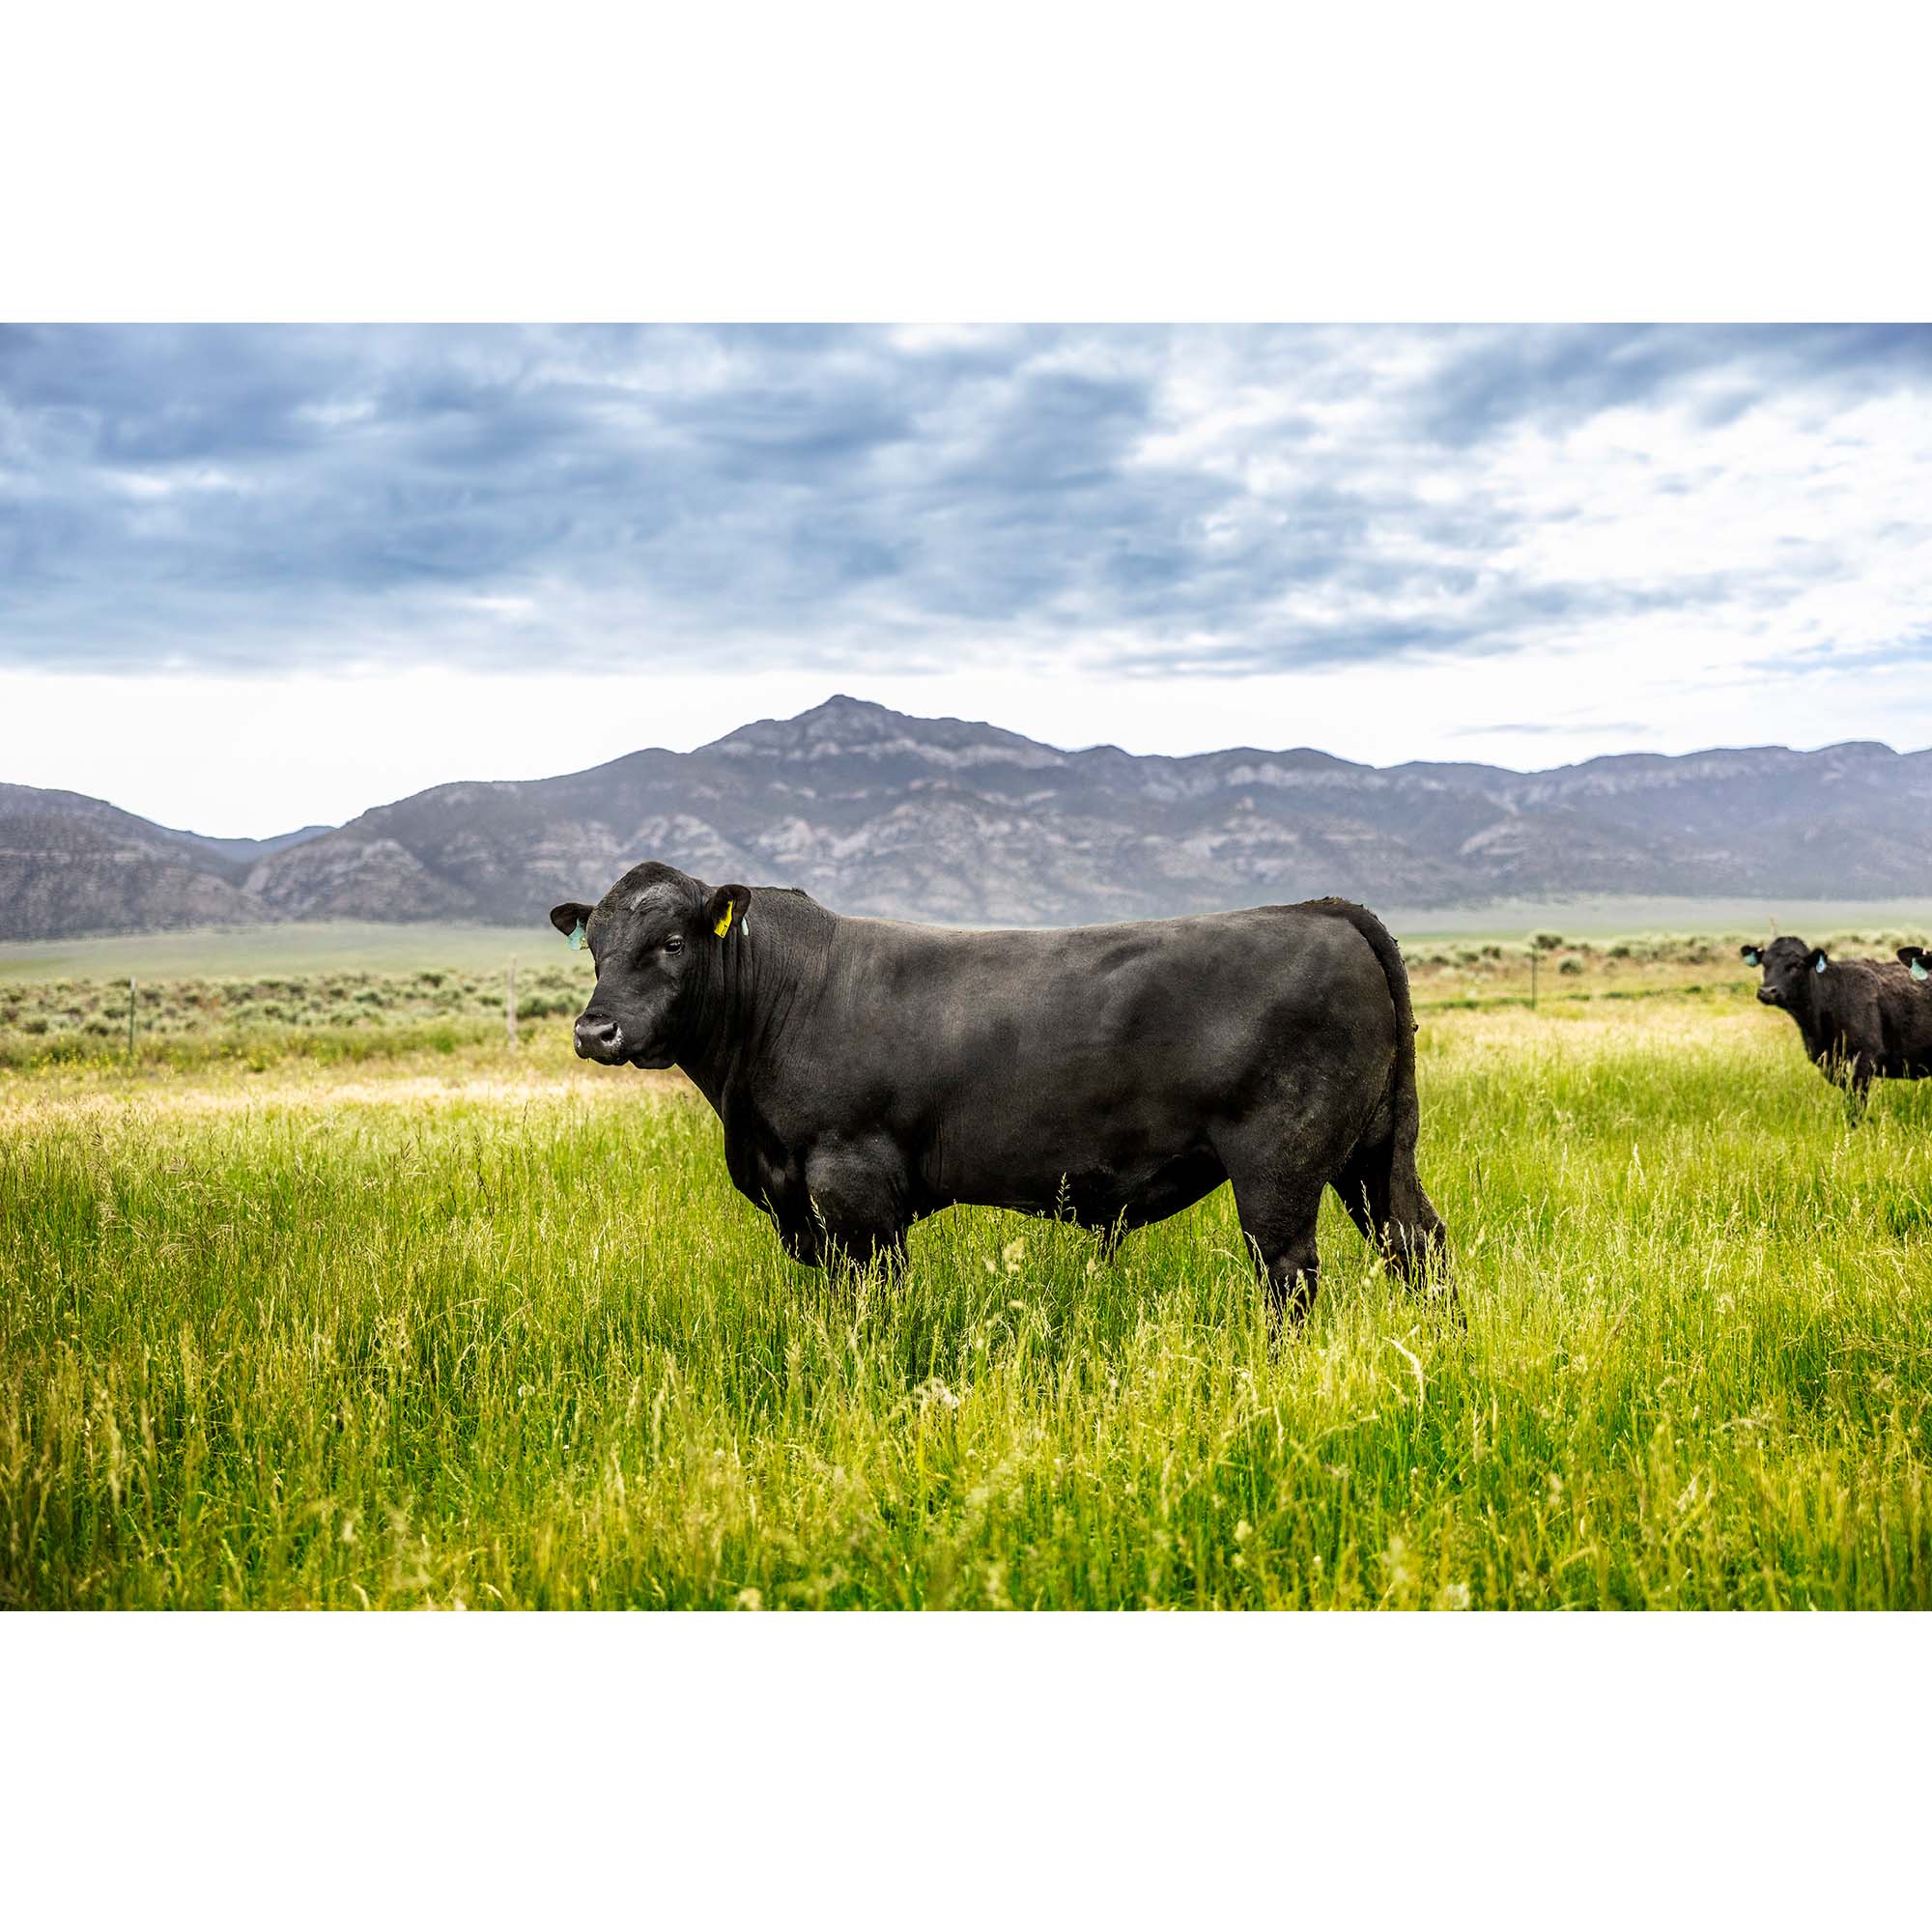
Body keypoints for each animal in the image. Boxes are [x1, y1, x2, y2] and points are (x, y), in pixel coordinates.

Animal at [551, 862, 1451, 1328]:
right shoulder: (799, 1206)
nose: (596, 1031)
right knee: (1418, 1244)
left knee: (1289, 1272)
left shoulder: (853, 1188)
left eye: (673, 942)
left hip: (1279, 1164)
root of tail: (1321, 909)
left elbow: (876, 1299)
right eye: (594, 947)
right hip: (1375, 1155)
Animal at [1740, 936, 1932, 1106]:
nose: (1767, 991)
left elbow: (1855, 1104)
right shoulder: (1827, 1061)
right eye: (1765, 964)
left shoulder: (1864, 1058)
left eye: (1798, 965)